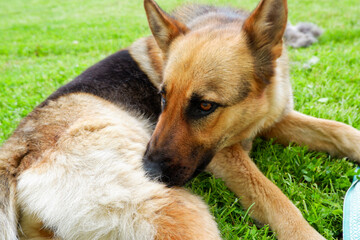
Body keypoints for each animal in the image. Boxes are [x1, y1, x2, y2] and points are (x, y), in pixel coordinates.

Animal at [0, 0, 360, 239]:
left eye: (205, 106)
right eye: (162, 97)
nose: (148, 172)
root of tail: (18, 150)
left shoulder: (273, 119)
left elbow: (339, 131)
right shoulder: (225, 155)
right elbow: (272, 196)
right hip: (181, 213)